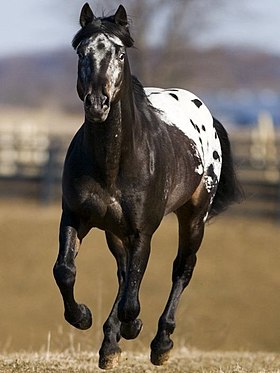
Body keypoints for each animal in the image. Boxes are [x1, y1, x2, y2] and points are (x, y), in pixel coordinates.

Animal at [53, 2, 242, 370]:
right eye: (82, 52)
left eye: (120, 53)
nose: (97, 104)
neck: (114, 162)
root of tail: (207, 115)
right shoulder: (75, 217)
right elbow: (65, 271)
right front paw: (83, 317)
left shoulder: (143, 231)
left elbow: (133, 297)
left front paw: (132, 327)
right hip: (114, 231)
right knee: (124, 273)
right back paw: (111, 345)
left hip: (194, 216)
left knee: (181, 269)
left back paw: (160, 342)